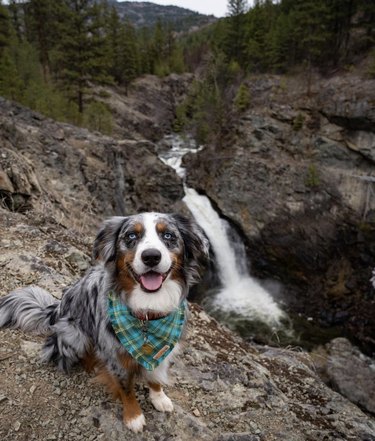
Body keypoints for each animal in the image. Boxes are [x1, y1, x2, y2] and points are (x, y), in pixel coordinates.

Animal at [0, 211, 209, 432]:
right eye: (131, 236)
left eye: (168, 235)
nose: (151, 256)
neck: (147, 312)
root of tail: (56, 309)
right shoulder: (115, 355)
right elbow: (126, 389)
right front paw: (133, 417)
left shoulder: (163, 348)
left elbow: (156, 375)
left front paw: (159, 397)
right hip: (74, 334)